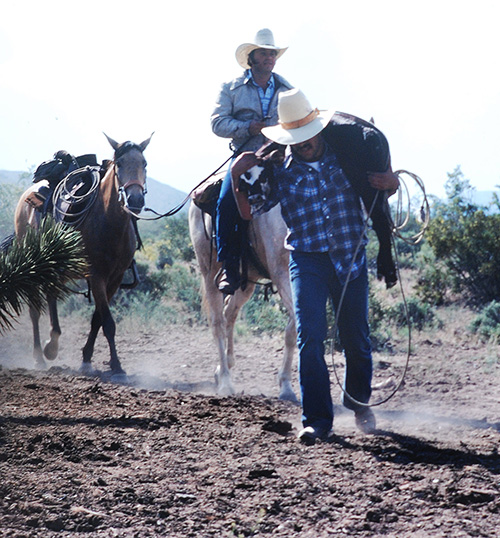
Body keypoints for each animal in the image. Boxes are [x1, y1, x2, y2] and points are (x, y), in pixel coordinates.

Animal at [15, 132, 152, 374]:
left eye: (144, 163)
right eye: (119, 163)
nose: (135, 200)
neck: (108, 220)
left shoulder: (114, 279)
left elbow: (98, 319)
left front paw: (87, 358)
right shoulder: (96, 275)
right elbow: (108, 322)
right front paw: (117, 366)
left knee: (50, 297)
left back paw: (52, 344)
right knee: (34, 310)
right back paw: (40, 355)